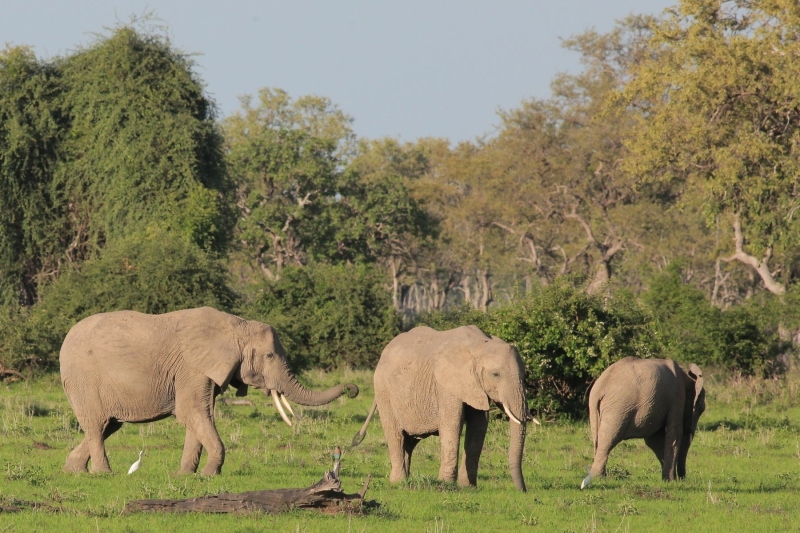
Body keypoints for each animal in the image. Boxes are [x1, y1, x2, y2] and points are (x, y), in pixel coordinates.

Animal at [56, 306, 356, 476]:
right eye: (270, 356)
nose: (352, 388)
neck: (237, 326)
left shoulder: (205, 370)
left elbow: (199, 416)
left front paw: (186, 476)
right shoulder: (192, 366)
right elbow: (193, 412)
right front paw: (211, 475)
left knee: (109, 425)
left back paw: (73, 470)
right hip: (83, 380)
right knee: (98, 424)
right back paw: (103, 474)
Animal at [348, 326, 532, 492]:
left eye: (525, 376)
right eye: (495, 375)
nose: (523, 491)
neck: (480, 345)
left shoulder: (475, 386)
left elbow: (479, 428)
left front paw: (468, 487)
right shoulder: (446, 385)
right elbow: (452, 425)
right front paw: (446, 485)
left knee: (409, 441)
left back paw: (406, 480)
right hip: (383, 391)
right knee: (396, 435)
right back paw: (398, 483)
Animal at [580, 356, 708, 488]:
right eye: (701, 409)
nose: (682, 479)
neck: (687, 378)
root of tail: (600, 388)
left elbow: (655, 440)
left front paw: (666, 479)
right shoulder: (678, 396)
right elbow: (674, 434)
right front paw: (670, 481)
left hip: (595, 409)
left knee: (598, 438)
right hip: (618, 409)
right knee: (608, 438)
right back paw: (598, 478)